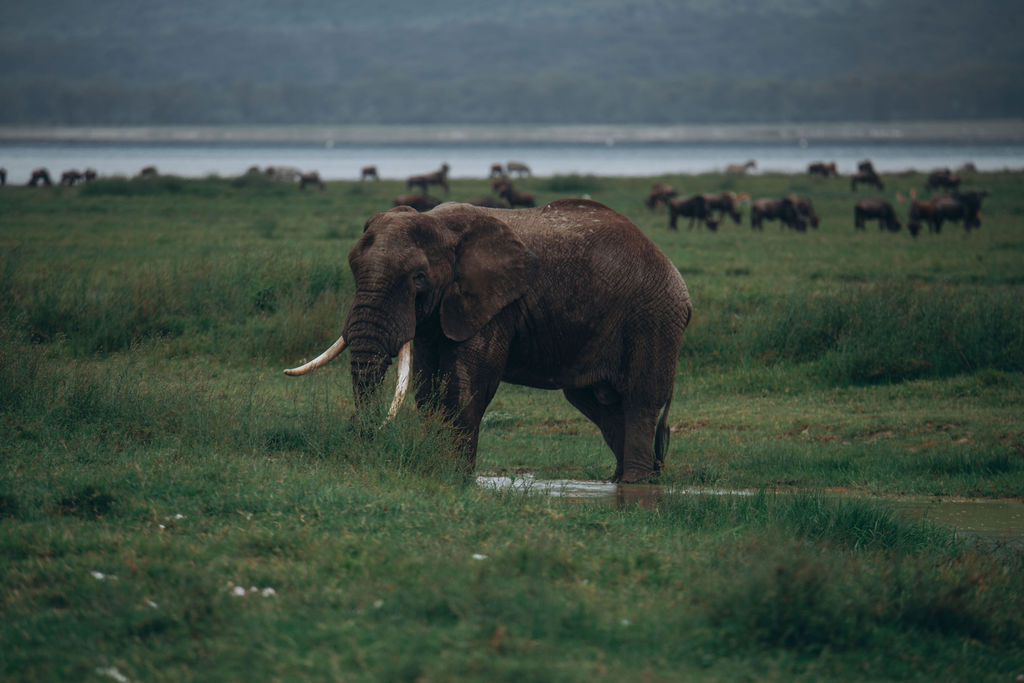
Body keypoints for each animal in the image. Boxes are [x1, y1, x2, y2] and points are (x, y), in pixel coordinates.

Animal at [284, 199, 693, 483]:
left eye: (418, 278)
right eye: (353, 266)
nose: (362, 433)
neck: (442, 225)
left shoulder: (495, 304)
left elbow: (465, 383)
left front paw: (454, 476)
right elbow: (427, 386)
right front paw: (436, 468)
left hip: (653, 317)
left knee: (639, 400)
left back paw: (635, 483)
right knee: (601, 406)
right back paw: (624, 480)